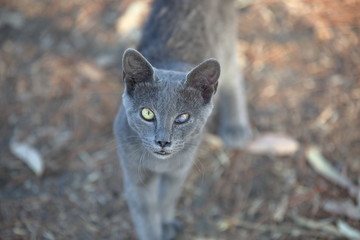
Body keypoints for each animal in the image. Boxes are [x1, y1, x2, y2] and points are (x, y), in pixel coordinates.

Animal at [114, 0, 252, 240]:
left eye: (182, 117)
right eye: (147, 113)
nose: (162, 141)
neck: (159, 163)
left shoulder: (180, 168)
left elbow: (168, 197)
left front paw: (166, 223)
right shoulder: (135, 175)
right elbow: (145, 213)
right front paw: (156, 231)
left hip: (224, 40)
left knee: (234, 75)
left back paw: (235, 127)